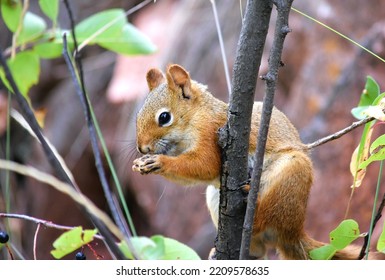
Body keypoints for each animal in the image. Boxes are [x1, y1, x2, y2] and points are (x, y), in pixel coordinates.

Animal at [131, 63, 380, 260]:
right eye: (137, 117)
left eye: (164, 117)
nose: (142, 148)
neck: (196, 116)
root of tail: (294, 232)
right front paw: (142, 163)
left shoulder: (211, 131)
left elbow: (205, 165)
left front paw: (158, 162)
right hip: (215, 196)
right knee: (259, 249)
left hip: (291, 173)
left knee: (265, 215)